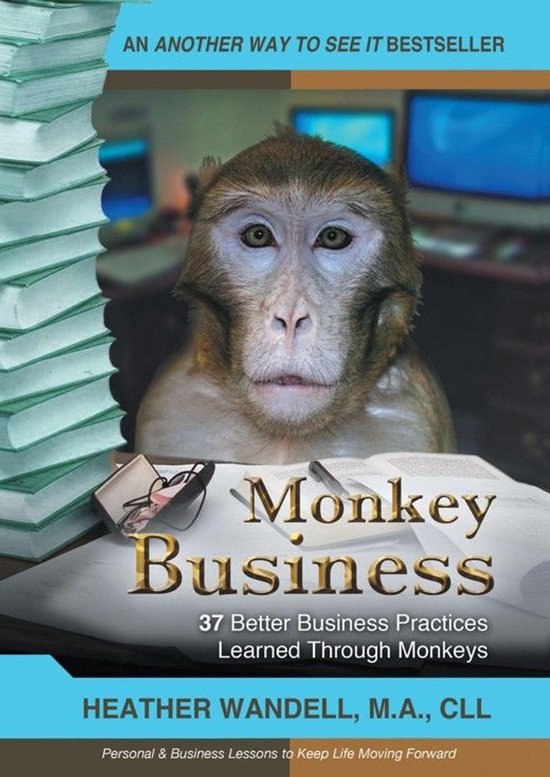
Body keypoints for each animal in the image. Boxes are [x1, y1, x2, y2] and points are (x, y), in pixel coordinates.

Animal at [136, 128, 455, 464]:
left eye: (333, 237)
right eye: (258, 235)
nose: (290, 318)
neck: (285, 437)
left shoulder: (416, 418)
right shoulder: (168, 404)